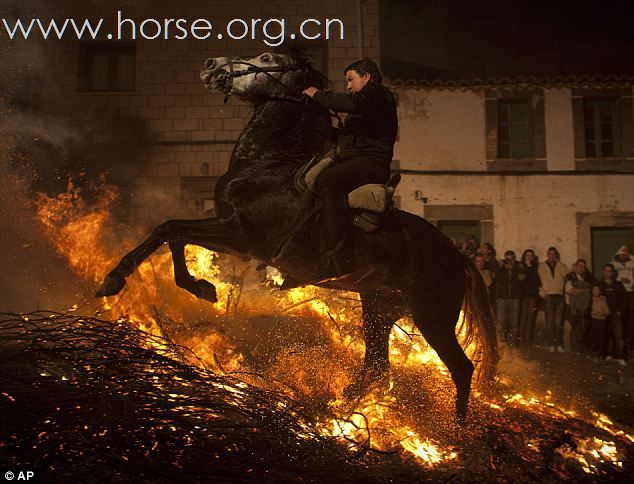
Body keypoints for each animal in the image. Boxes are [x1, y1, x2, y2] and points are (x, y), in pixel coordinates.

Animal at [96, 50, 496, 424]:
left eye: (267, 58)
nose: (212, 65)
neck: (269, 165)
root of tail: (459, 256)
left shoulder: (241, 235)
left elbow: (169, 229)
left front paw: (117, 280)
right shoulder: (231, 231)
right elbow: (173, 235)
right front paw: (199, 287)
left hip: (432, 315)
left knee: (461, 368)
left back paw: (458, 432)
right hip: (380, 308)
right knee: (377, 366)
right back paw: (341, 406)